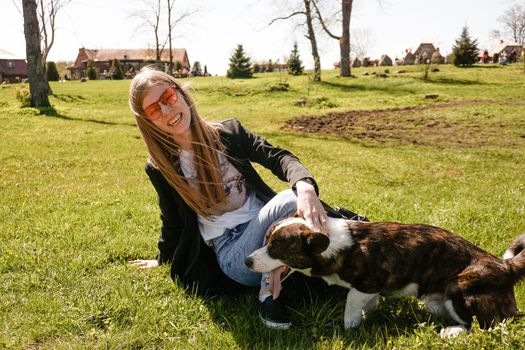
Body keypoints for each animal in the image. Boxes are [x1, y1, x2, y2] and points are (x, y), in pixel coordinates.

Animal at [245, 217, 524, 338]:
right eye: (266, 240)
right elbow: (367, 306)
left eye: (277, 248)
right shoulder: (369, 292)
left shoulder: (366, 286)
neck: (332, 245)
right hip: (436, 302)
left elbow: (350, 305)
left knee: (483, 325)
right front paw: (367, 317)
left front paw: (350, 329)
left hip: (462, 288)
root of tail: (504, 265)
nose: (247, 261)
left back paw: (451, 332)